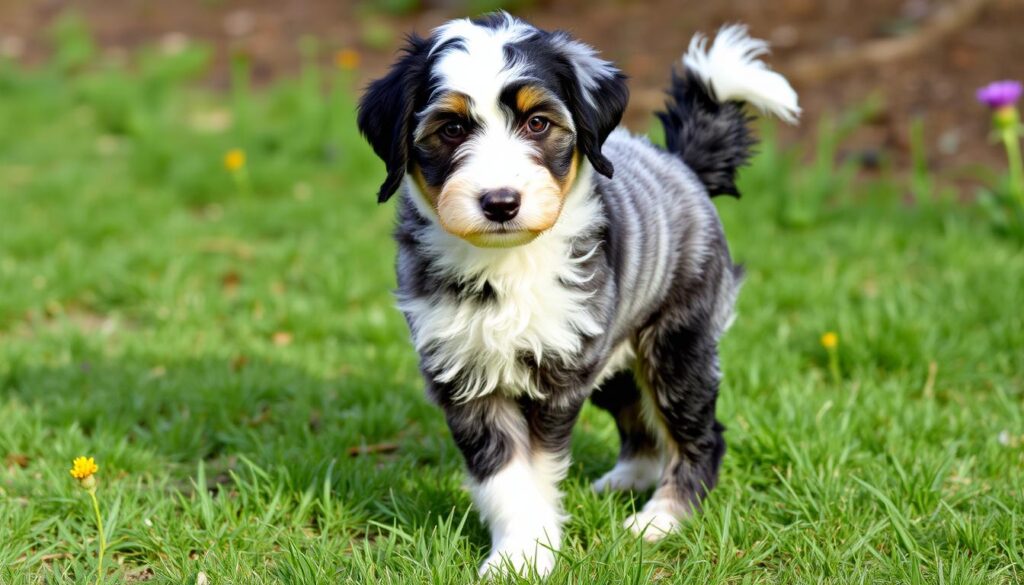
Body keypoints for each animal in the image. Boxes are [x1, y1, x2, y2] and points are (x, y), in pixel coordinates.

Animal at [358, 12, 798, 577]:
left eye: (537, 124)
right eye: (451, 128)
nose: (500, 202)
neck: (506, 265)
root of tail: (680, 164)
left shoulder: (559, 373)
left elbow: (537, 470)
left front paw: (531, 552)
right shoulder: (465, 375)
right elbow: (505, 478)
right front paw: (517, 553)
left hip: (677, 346)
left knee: (701, 437)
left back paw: (660, 519)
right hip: (611, 350)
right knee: (637, 419)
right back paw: (625, 480)